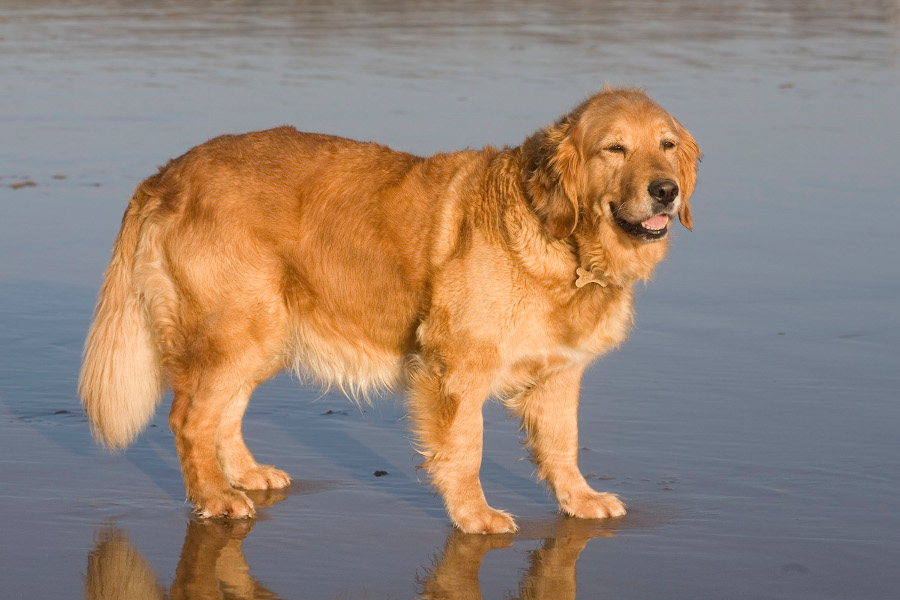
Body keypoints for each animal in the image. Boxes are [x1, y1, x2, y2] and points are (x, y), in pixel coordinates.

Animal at [79, 86, 696, 532]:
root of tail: (165, 174)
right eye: (614, 148)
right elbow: (465, 449)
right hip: (238, 327)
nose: (665, 191)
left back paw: (245, 476)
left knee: (222, 415)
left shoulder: (559, 372)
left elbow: (563, 444)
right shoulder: (455, 367)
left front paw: (580, 499)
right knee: (189, 419)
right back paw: (213, 497)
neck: (564, 242)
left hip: (263, 331)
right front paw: (474, 516)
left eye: (666, 145)